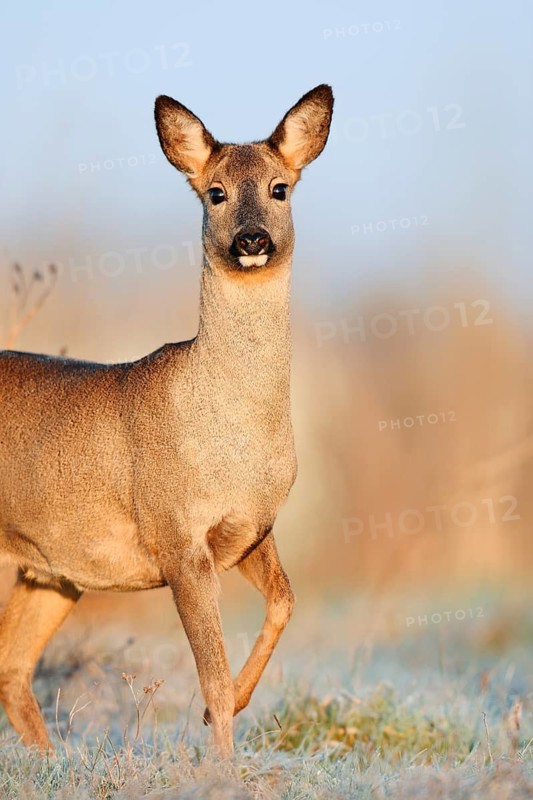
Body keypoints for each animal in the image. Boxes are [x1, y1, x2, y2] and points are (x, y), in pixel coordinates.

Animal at [0, 84, 334, 757]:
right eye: (216, 192)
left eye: (281, 188)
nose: (252, 239)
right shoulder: (177, 534)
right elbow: (209, 673)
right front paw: (222, 762)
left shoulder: (249, 528)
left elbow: (285, 602)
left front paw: (232, 705)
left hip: (51, 572)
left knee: (12, 667)